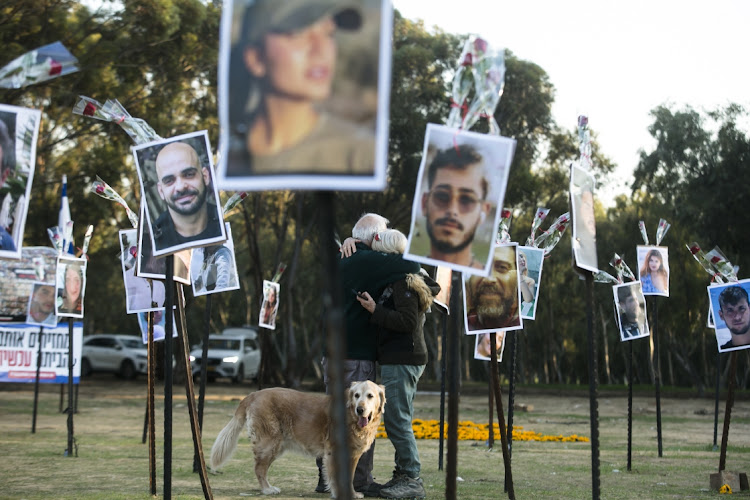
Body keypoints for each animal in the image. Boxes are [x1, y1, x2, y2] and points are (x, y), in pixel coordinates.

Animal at [212, 380, 388, 498]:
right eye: (357, 395)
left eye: (370, 396)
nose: (360, 409)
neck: (350, 416)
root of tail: (253, 394)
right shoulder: (334, 453)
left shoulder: (352, 456)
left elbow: (350, 478)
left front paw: (352, 493)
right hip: (270, 443)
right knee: (259, 469)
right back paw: (267, 489)